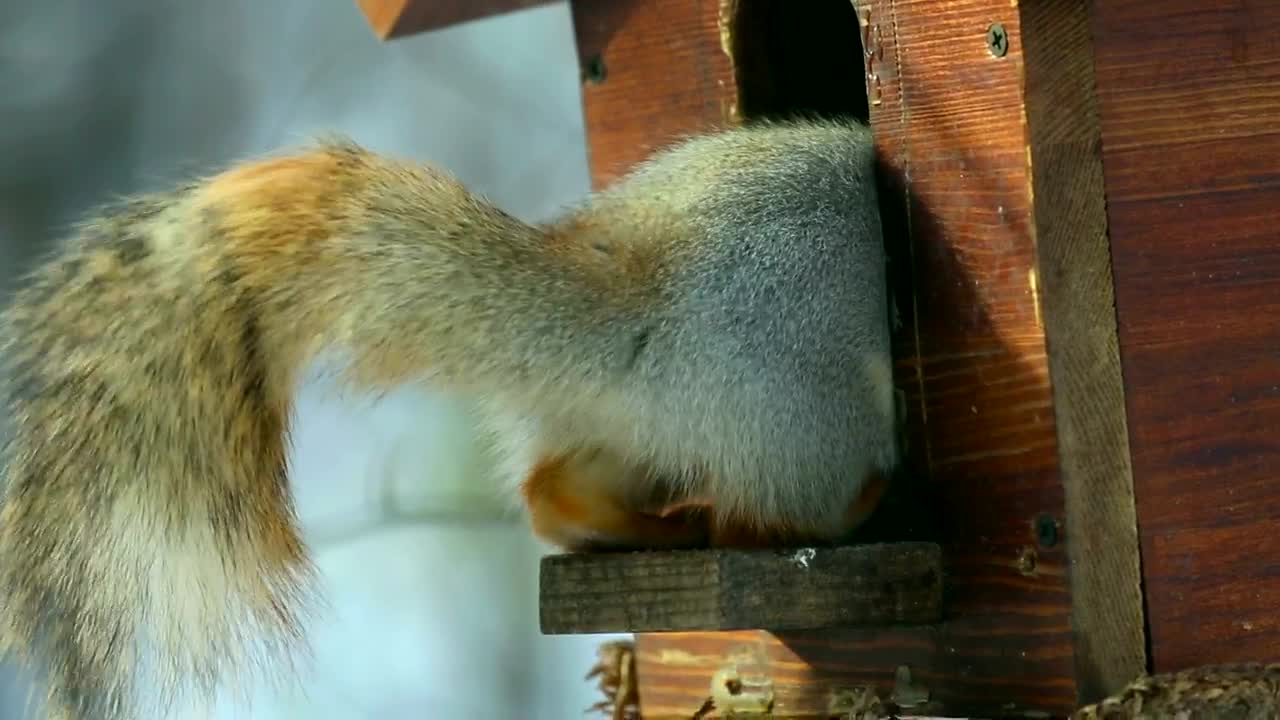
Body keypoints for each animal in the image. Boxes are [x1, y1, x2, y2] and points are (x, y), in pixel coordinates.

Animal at [0, 118, 897, 719]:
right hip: (812, 406)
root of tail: (643, 307)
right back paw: (860, 500)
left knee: (555, 491)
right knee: (767, 520)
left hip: (631, 431)